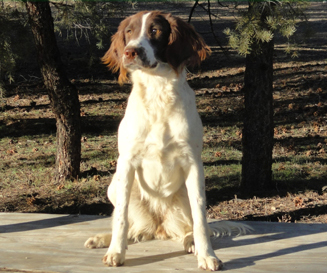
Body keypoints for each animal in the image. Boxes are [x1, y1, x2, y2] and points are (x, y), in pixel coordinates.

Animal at [84, 10, 249, 270]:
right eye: (129, 31)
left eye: (155, 30)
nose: (130, 51)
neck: (157, 92)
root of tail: (159, 227)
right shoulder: (126, 161)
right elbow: (120, 218)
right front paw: (116, 252)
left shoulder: (193, 163)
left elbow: (201, 220)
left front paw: (207, 255)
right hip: (115, 185)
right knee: (131, 227)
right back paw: (104, 239)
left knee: (191, 226)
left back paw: (191, 242)